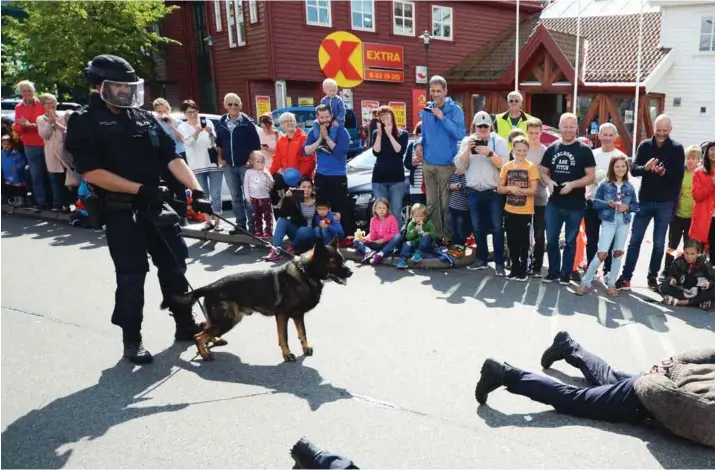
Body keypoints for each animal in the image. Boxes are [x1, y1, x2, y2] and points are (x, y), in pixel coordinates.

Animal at [161, 237, 354, 362]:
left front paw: (305, 347)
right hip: (228, 320)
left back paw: (213, 342)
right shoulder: (282, 316)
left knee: (203, 326)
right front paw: (287, 354)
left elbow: (302, 333)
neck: (306, 273)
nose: (351, 272)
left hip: (228, 319)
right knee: (198, 335)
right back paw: (205, 354)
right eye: (333, 262)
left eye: (342, 259)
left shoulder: (298, 316)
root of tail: (211, 285)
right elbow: (284, 337)